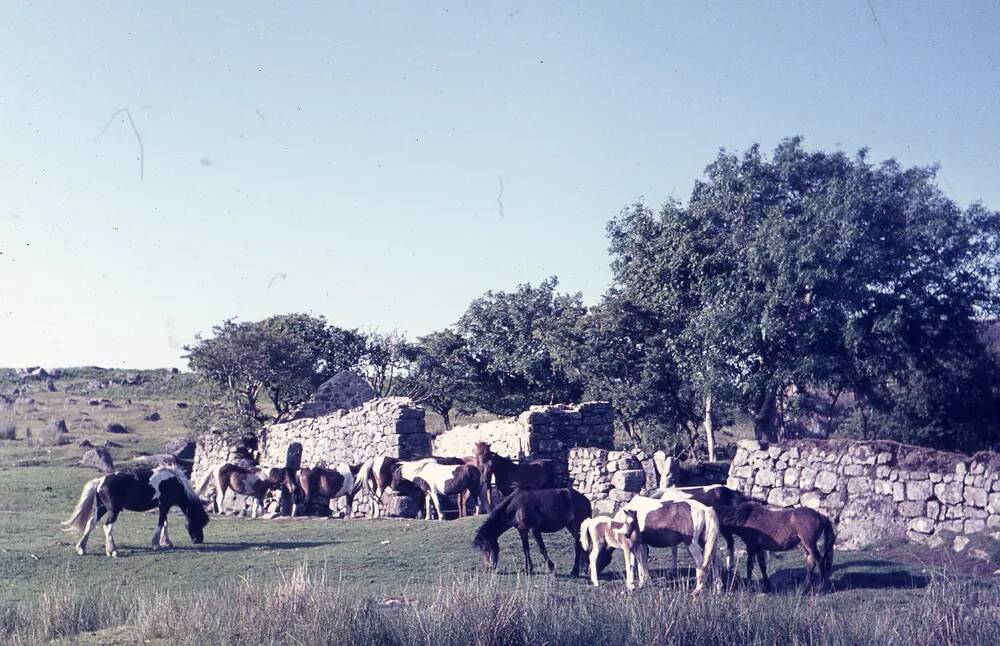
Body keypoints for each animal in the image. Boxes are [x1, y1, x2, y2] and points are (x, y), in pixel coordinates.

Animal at [62, 468, 209, 560]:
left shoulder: (164, 507)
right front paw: (156, 544)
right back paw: (113, 551)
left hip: (102, 508)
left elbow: (165, 523)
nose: (199, 540)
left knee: (90, 524)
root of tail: (100, 481)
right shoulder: (164, 506)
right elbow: (161, 523)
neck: (172, 482)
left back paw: (82, 548)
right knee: (107, 527)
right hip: (113, 511)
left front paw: (167, 542)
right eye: (198, 521)